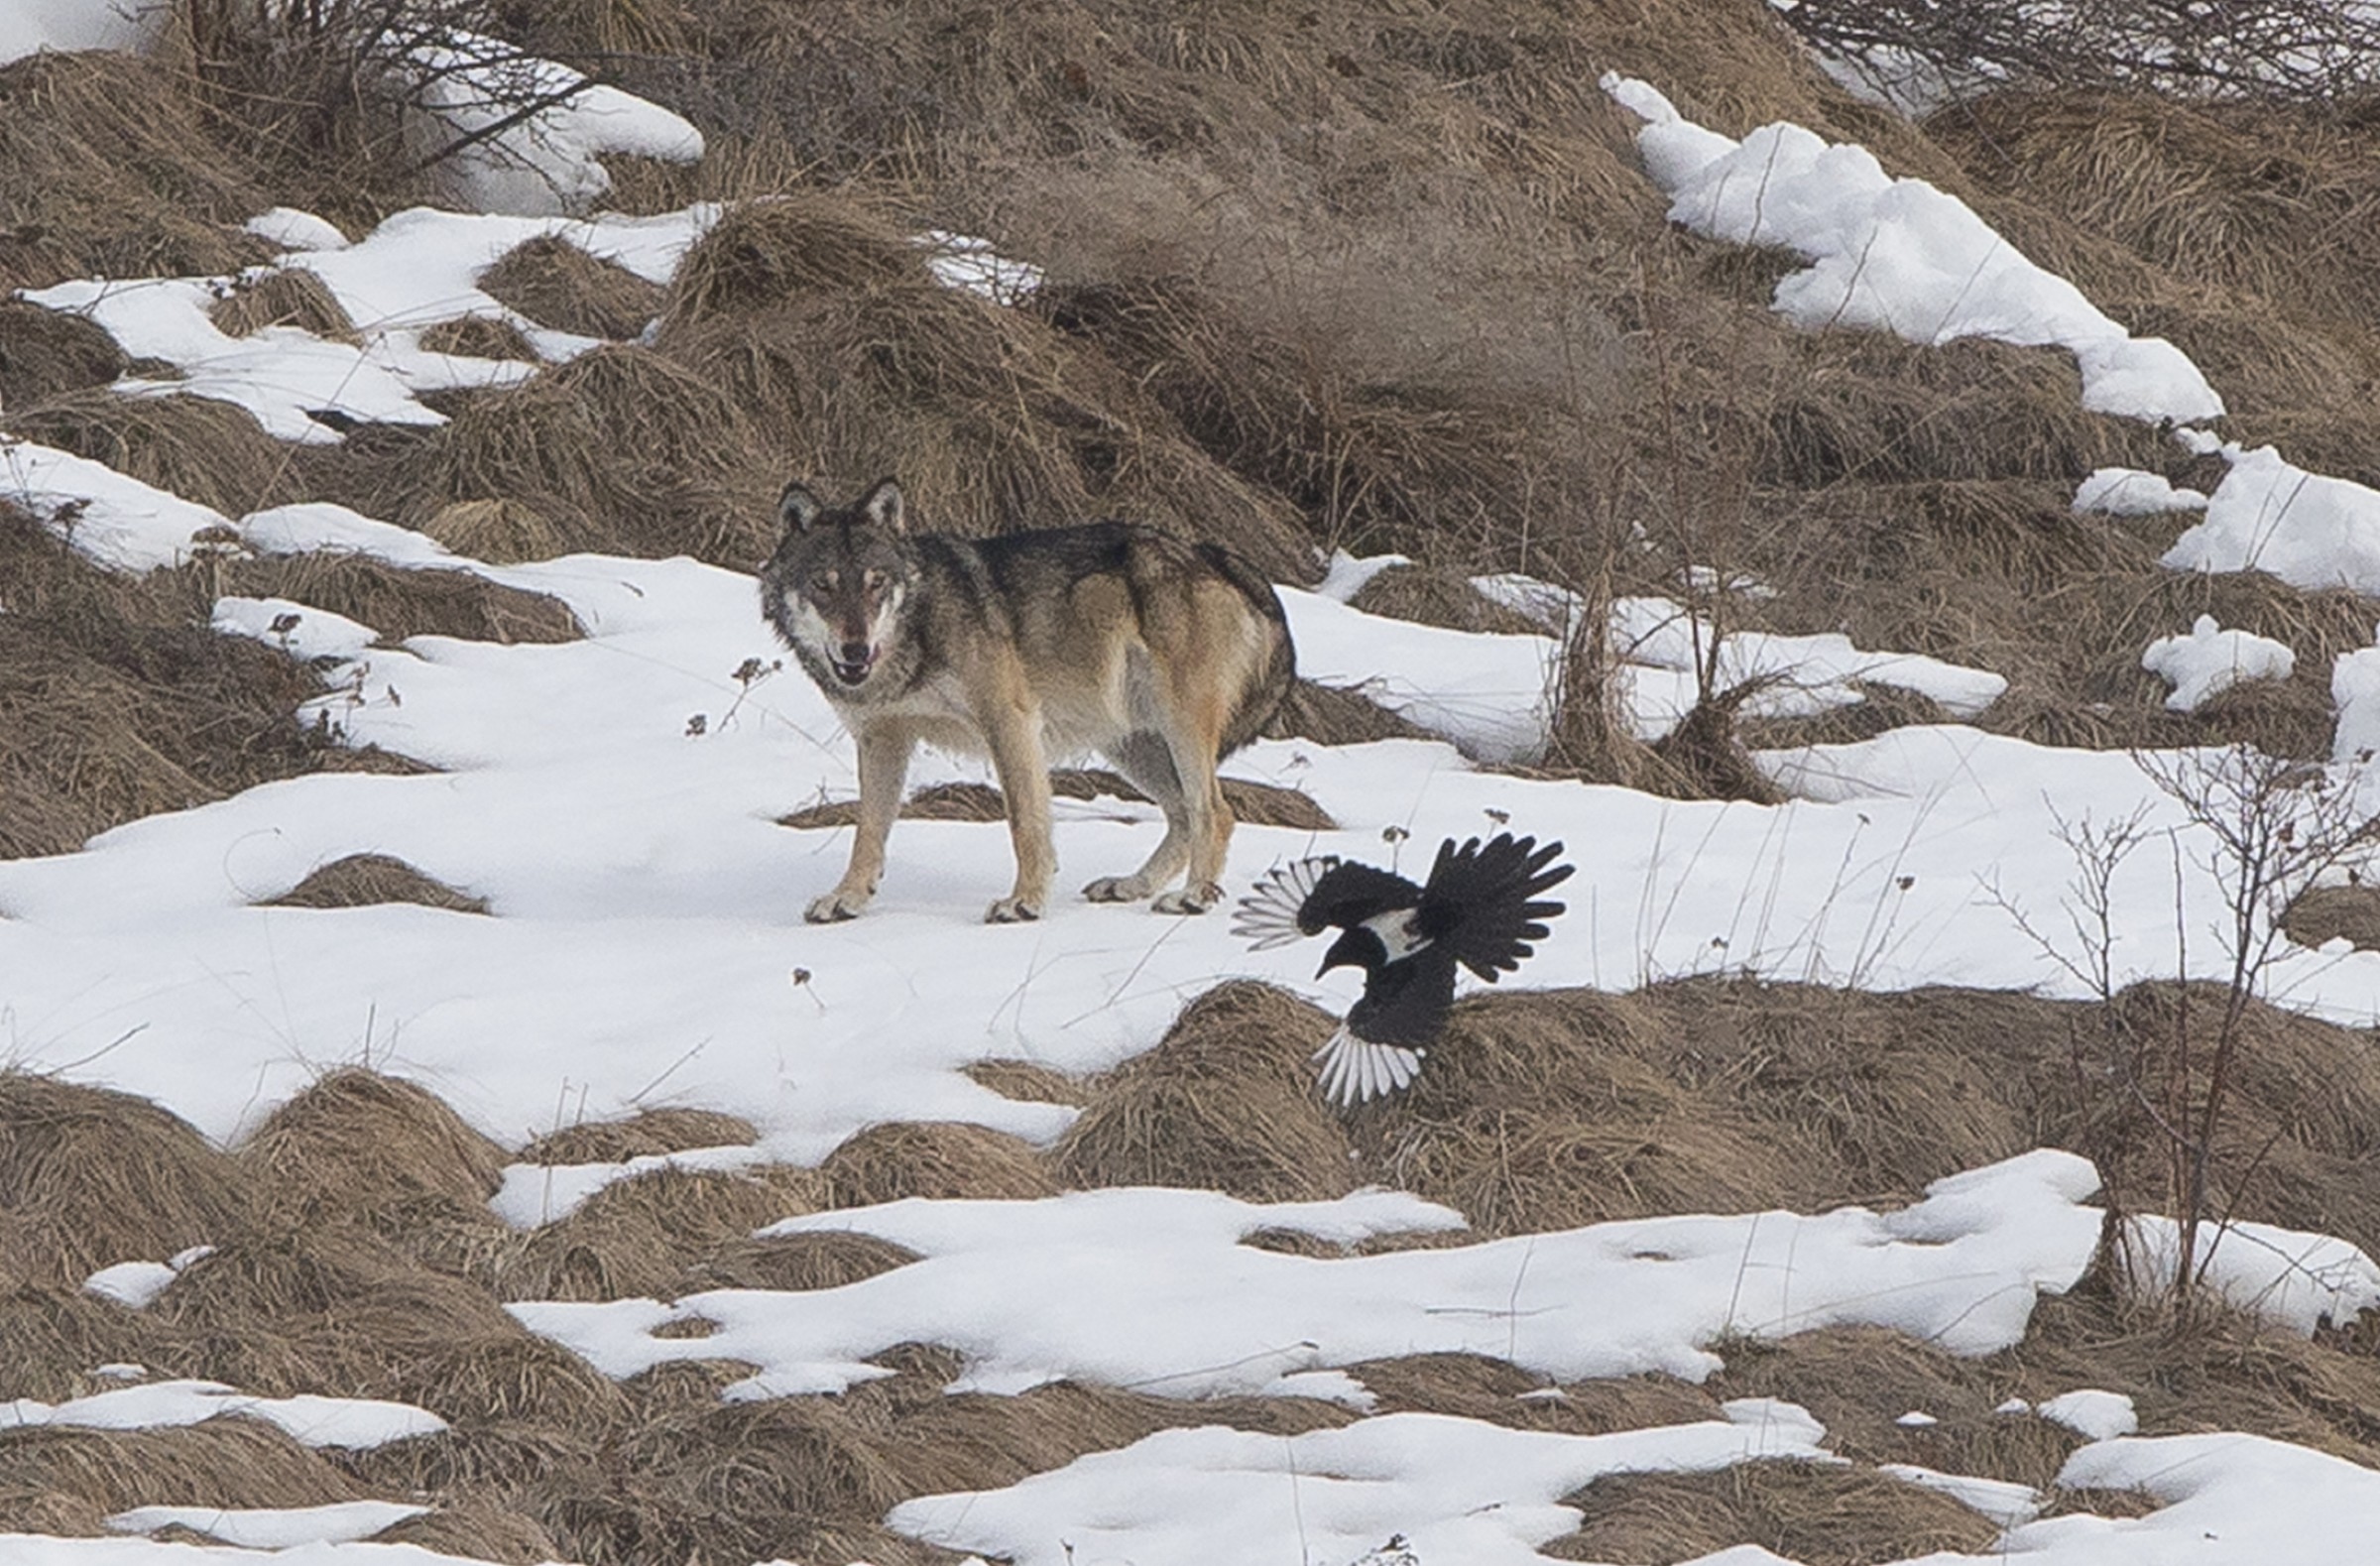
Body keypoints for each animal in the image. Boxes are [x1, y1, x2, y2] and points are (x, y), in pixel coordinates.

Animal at [761, 478, 1296, 924]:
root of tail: (1214, 555)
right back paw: (1131, 885)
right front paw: (847, 898)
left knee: (1215, 812)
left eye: (876, 584)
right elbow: (867, 830)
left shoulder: (1009, 721)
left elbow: (1024, 820)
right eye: (823, 585)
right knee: (1183, 814)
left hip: (1178, 727)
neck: (914, 632)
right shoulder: (881, 740)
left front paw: (1024, 902)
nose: (855, 650)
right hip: (1130, 745)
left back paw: (1193, 897)